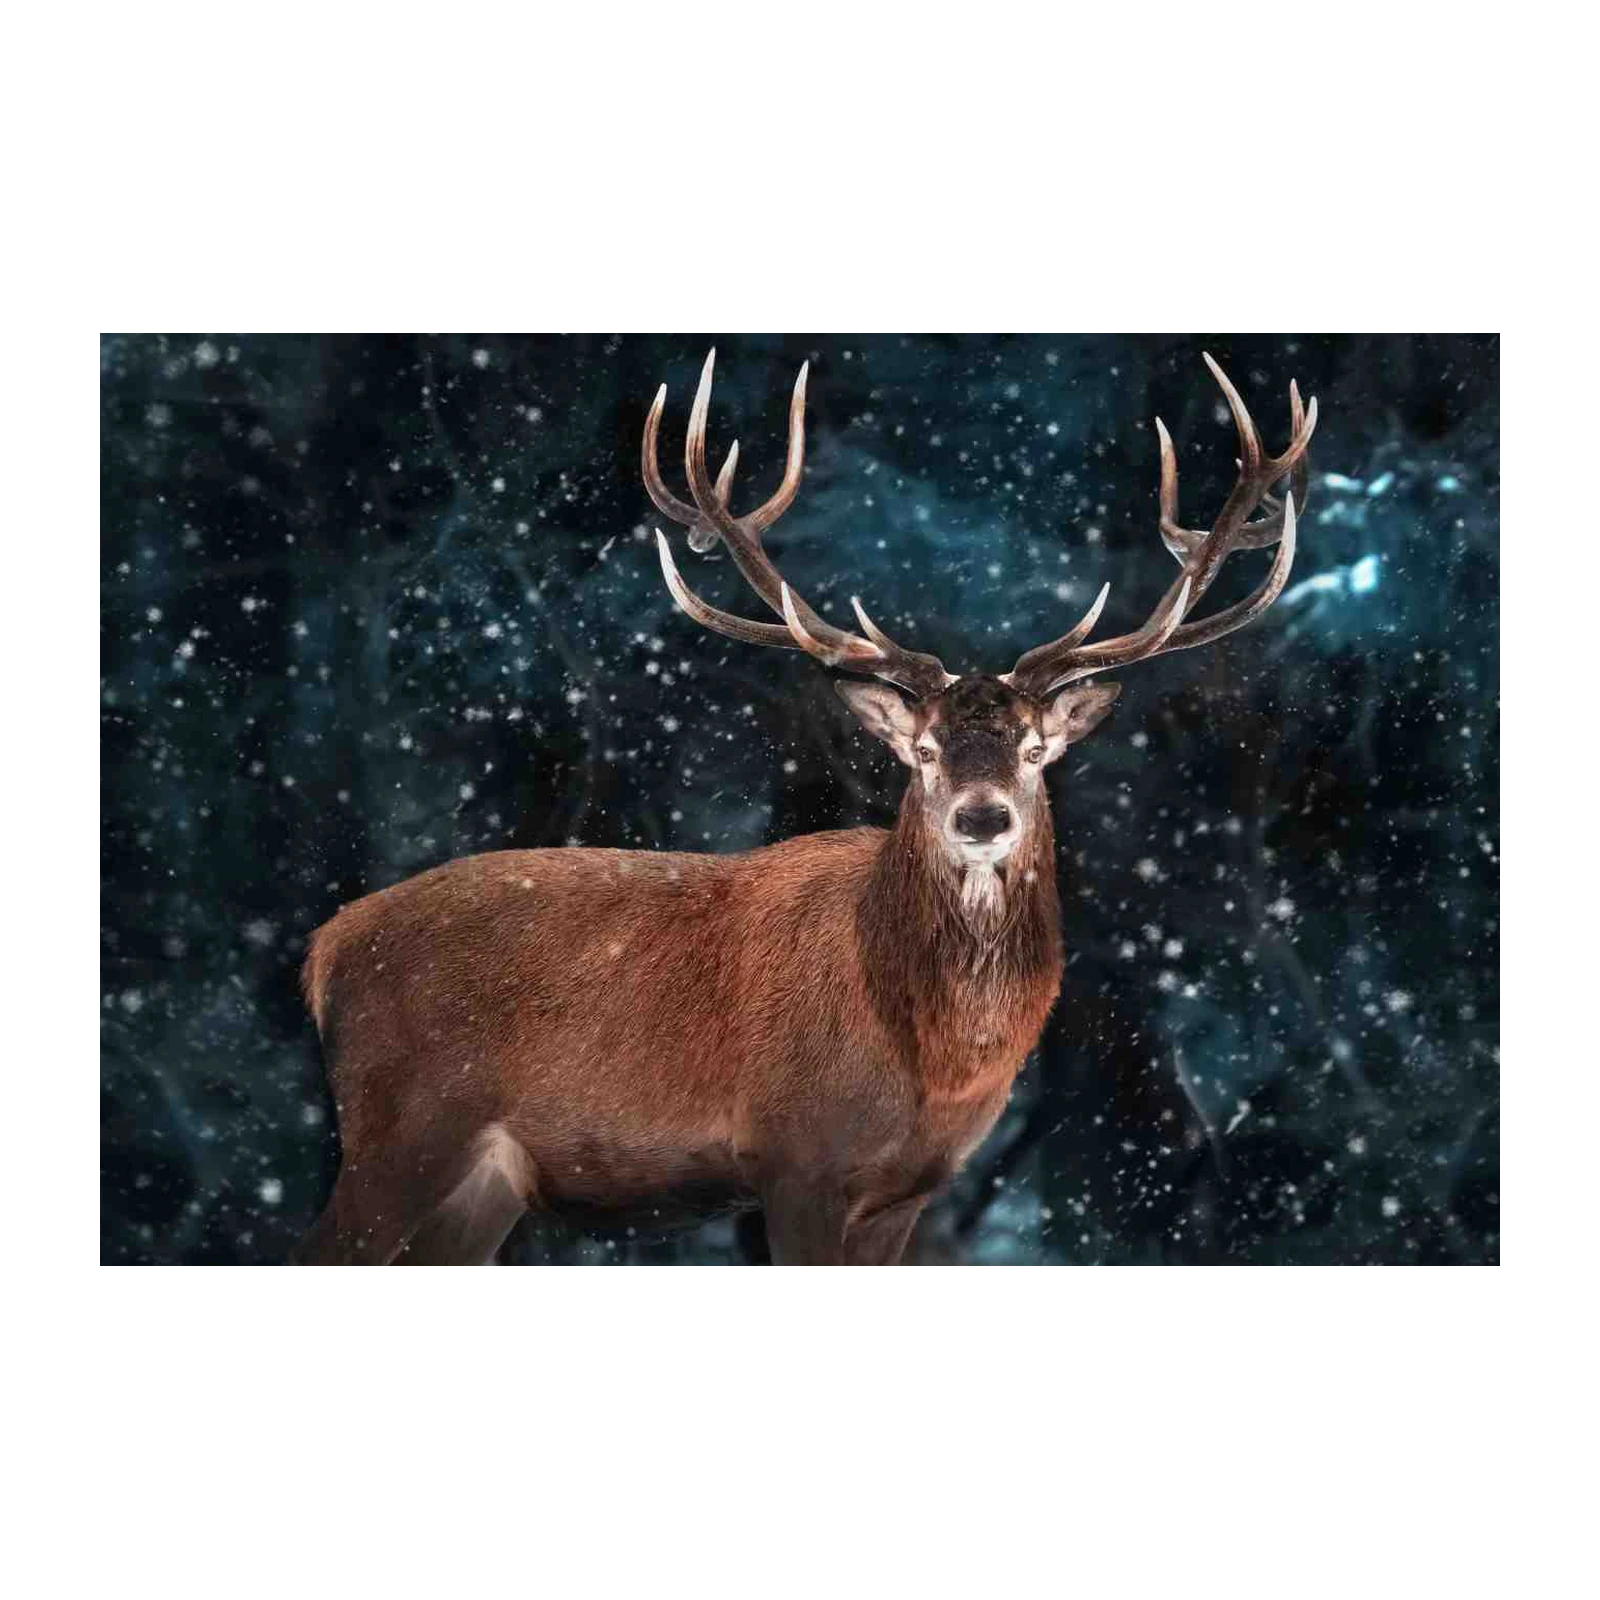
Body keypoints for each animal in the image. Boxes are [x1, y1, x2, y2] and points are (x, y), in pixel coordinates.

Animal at [289, 348, 1316, 1271]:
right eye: (925, 753)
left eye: (1034, 753)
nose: (983, 818)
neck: (929, 1065)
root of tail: (326, 951)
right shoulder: (797, 1161)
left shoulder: (910, 1191)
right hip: (398, 1127)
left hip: (485, 1177)